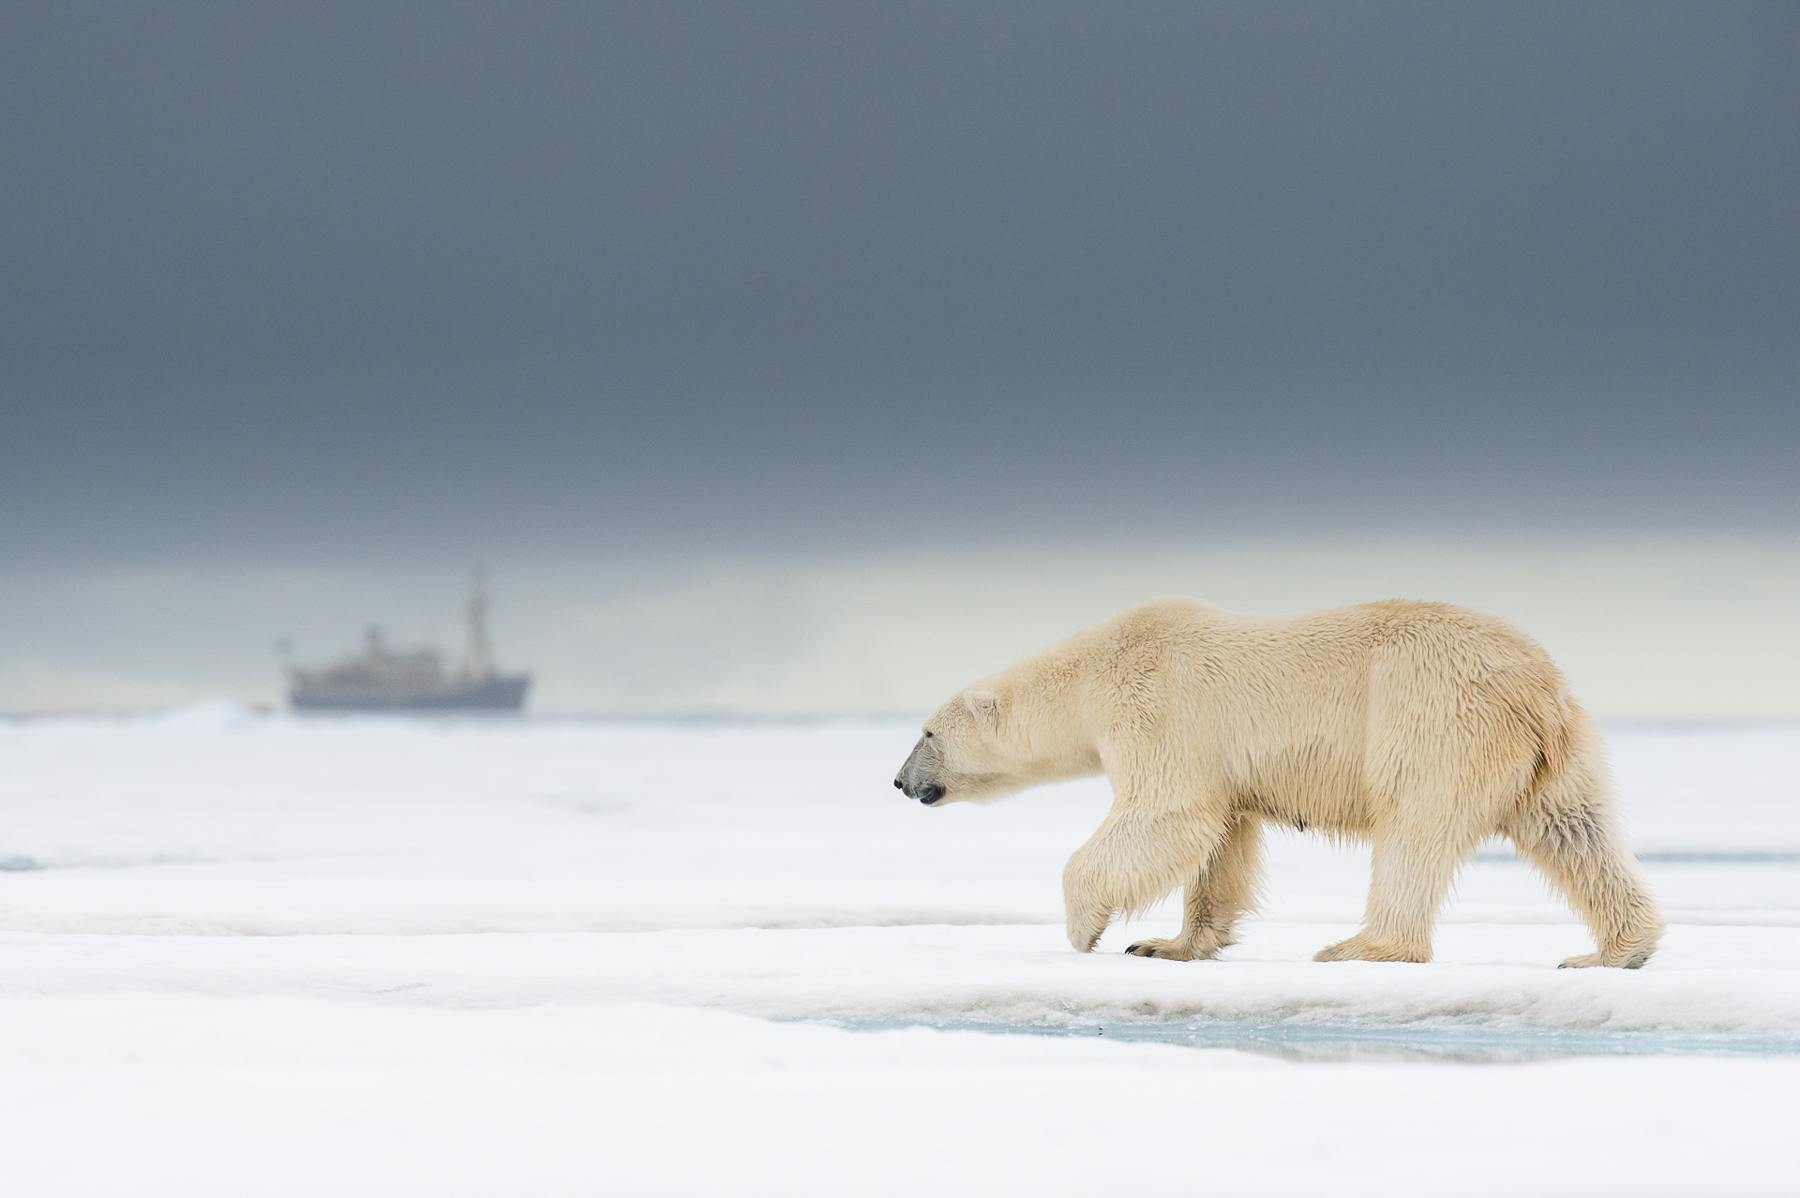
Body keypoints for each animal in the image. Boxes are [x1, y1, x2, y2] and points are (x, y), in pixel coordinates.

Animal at [892, 593, 1663, 964]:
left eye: (926, 733)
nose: (899, 782)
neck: (1092, 669)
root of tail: (1537, 686)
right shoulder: (1221, 763)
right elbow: (1220, 841)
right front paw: (1169, 945)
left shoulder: (1157, 704)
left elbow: (1164, 814)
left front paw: (1088, 931)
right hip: (1556, 752)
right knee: (1576, 832)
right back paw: (1616, 952)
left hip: (1433, 718)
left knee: (1414, 830)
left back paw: (1364, 946)